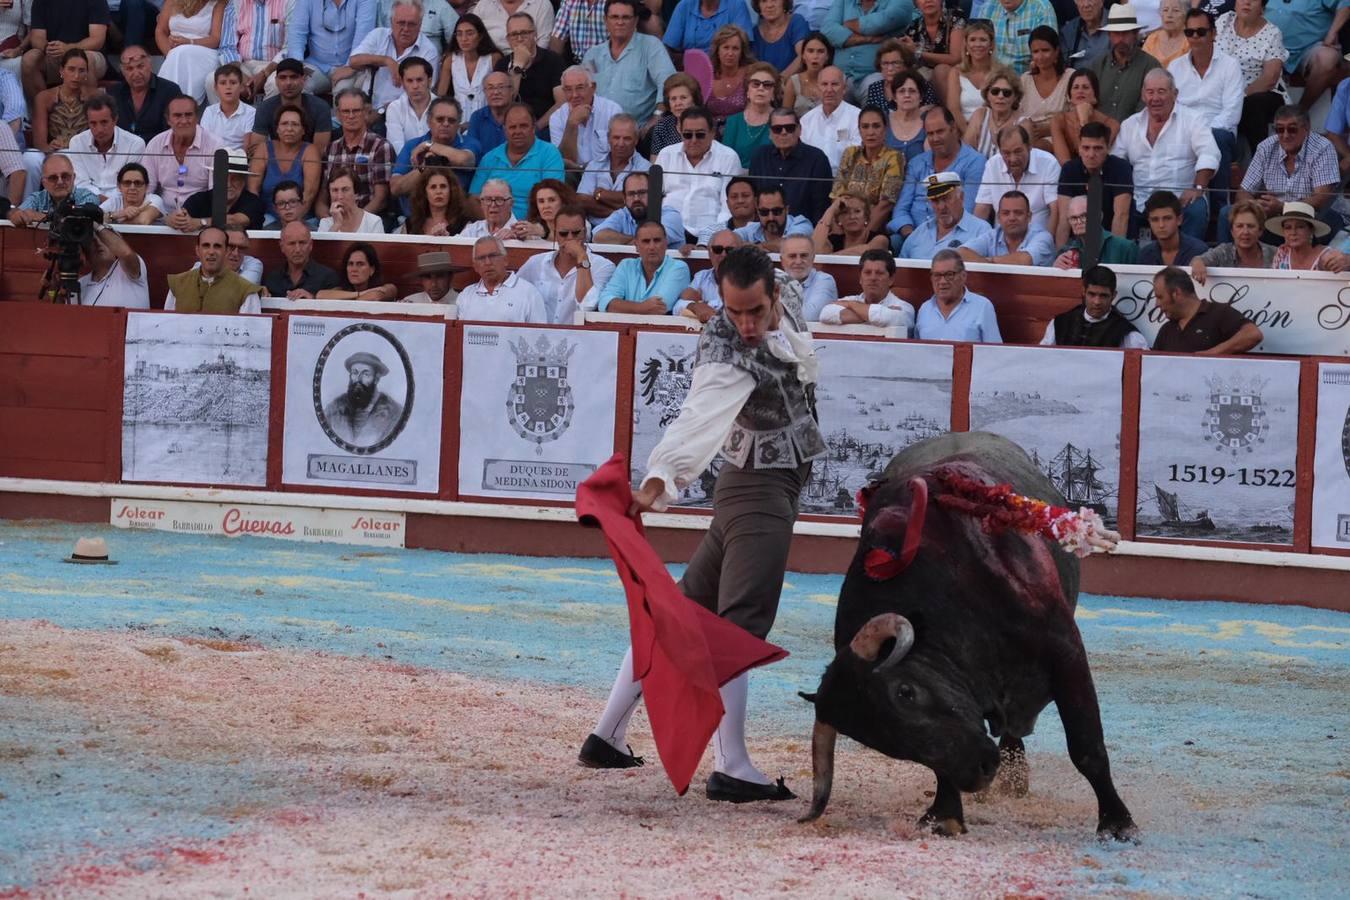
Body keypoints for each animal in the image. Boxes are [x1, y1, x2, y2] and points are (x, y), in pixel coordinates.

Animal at [804, 431, 1134, 841]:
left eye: (905, 692)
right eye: (876, 739)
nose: (979, 771)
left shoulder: (1065, 649)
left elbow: (1086, 747)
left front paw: (1118, 823)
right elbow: (941, 765)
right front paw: (946, 814)